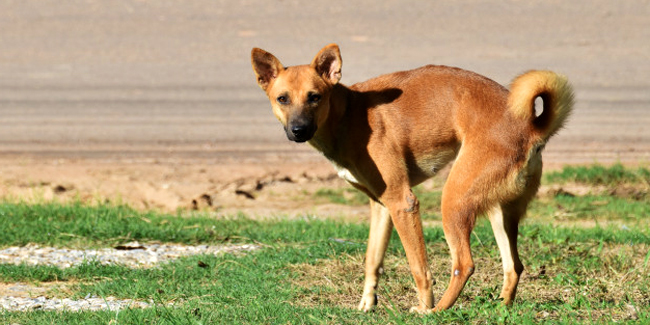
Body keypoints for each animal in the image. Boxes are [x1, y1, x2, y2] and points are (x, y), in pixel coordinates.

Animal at [251, 43, 568, 312]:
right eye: (282, 99)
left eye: (314, 97)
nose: (298, 130)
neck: (349, 115)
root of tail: (531, 127)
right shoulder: (382, 207)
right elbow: (372, 260)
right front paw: (367, 304)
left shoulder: (403, 203)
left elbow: (419, 267)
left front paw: (424, 306)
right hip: (498, 211)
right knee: (514, 266)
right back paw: (501, 306)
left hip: (453, 202)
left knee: (463, 264)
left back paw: (438, 311)